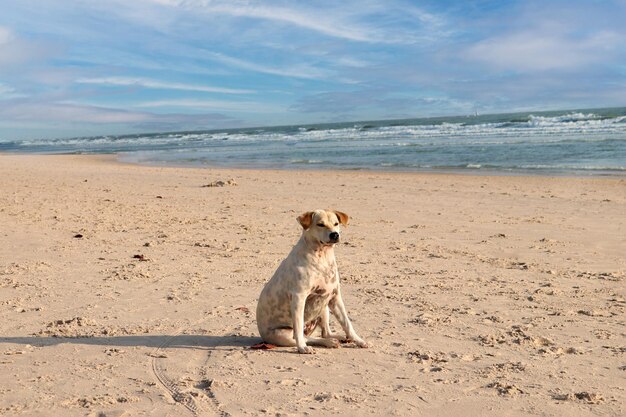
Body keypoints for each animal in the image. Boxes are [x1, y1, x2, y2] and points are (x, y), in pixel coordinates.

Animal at [256, 210, 368, 352]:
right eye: (320, 224)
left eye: (336, 223)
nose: (335, 234)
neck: (322, 256)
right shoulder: (299, 297)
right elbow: (298, 328)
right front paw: (302, 348)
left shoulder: (334, 296)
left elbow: (347, 323)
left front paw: (359, 341)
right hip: (282, 334)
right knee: (304, 337)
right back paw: (323, 343)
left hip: (323, 306)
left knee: (325, 333)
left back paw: (338, 338)